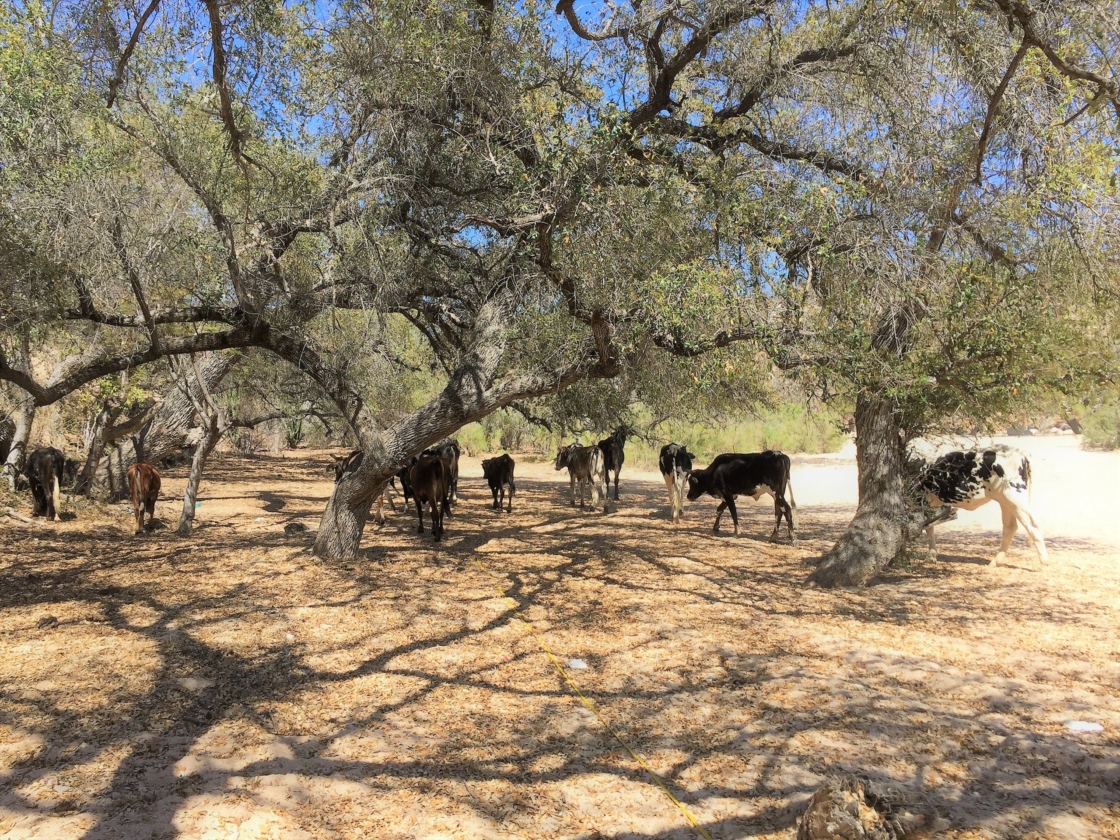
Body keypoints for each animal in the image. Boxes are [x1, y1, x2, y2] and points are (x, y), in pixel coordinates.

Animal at [910, 443, 1047, 566]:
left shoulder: (920, 501)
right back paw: (996, 561)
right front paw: (932, 556)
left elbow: (924, 525)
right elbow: (929, 526)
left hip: (1015, 498)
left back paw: (1043, 562)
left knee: (1033, 526)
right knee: (1010, 527)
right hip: (1005, 501)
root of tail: (1019, 452)